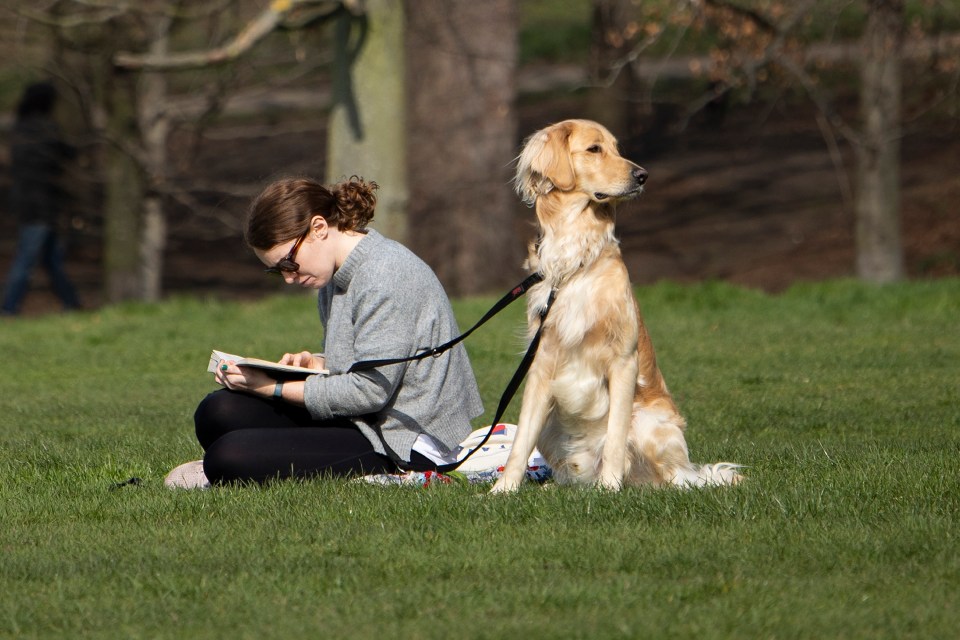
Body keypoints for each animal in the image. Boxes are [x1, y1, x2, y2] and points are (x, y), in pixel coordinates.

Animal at [492, 120, 740, 496]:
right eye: (594, 149)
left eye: (617, 148)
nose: (643, 175)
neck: (574, 259)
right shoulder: (542, 362)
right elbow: (520, 441)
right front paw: (503, 489)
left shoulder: (623, 360)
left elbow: (615, 437)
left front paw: (609, 487)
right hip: (552, 426)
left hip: (651, 422)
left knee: (669, 478)